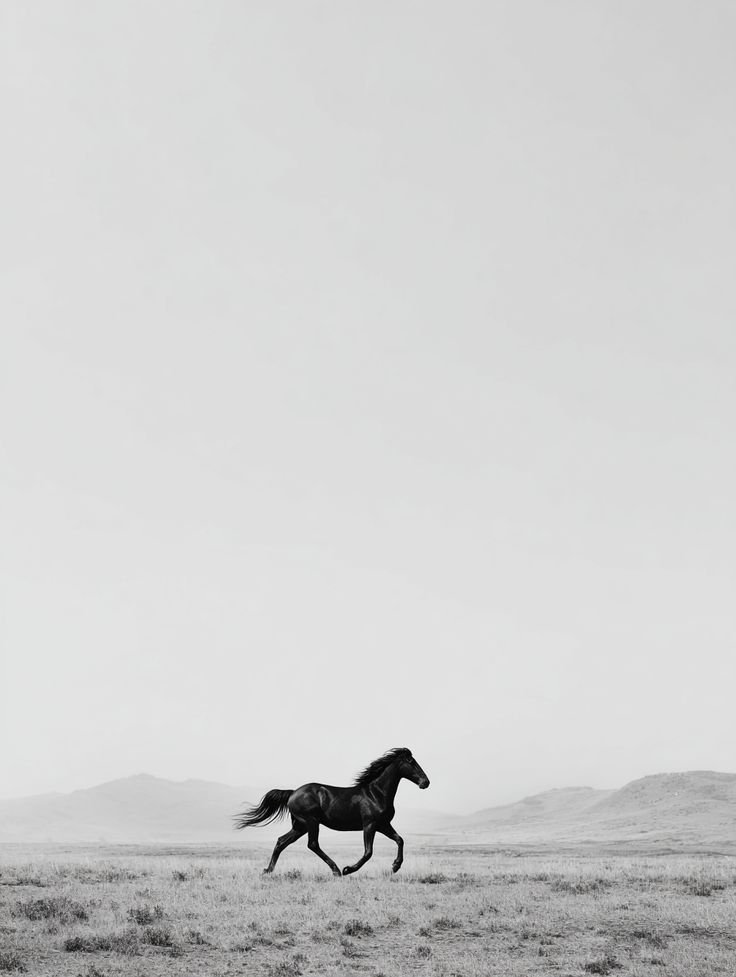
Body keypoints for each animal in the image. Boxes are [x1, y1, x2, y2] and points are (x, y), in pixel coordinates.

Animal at [234, 747, 430, 876]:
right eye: (411, 762)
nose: (425, 782)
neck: (376, 793)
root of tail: (293, 792)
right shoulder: (370, 825)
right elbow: (368, 852)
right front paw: (349, 869)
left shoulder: (383, 824)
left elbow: (400, 840)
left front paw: (395, 866)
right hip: (311, 822)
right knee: (312, 844)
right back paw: (336, 870)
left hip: (300, 826)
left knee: (282, 842)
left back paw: (268, 870)